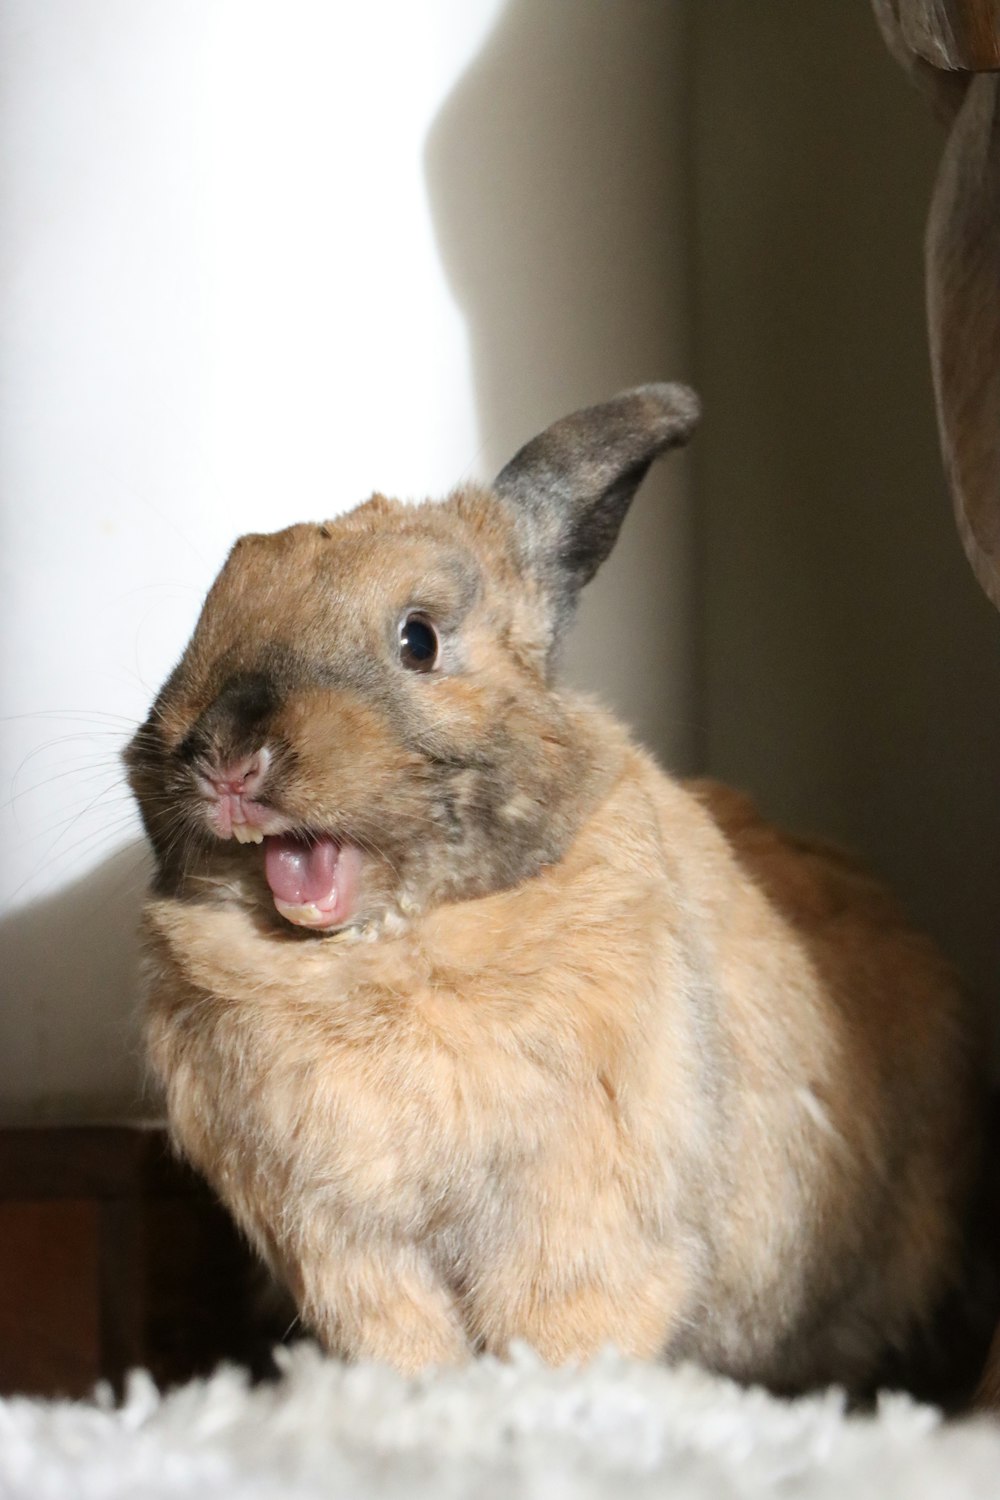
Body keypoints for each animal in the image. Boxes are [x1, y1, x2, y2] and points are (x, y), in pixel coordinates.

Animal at [122, 387, 977, 1392]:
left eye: (419, 639)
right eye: (209, 614)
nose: (226, 759)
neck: (384, 953)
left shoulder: (577, 1219)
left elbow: (555, 1328)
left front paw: (539, 1407)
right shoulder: (349, 1252)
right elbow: (403, 1345)